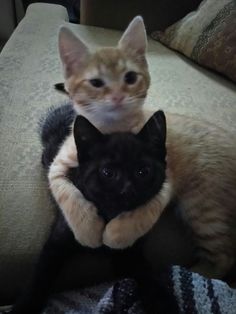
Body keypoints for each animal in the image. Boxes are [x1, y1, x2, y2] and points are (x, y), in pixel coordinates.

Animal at [9, 105, 179, 314]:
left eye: (143, 172)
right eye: (107, 173)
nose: (128, 189)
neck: (108, 215)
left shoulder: (128, 251)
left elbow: (145, 273)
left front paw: (163, 301)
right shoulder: (58, 239)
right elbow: (40, 275)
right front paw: (24, 306)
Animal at [48, 16, 236, 278]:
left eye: (130, 78)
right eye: (96, 83)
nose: (117, 96)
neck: (114, 129)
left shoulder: (165, 176)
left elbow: (148, 210)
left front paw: (117, 235)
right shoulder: (58, 164)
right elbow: (66, 193)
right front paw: (87, 230)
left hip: (203, 206)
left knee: (224, 258)